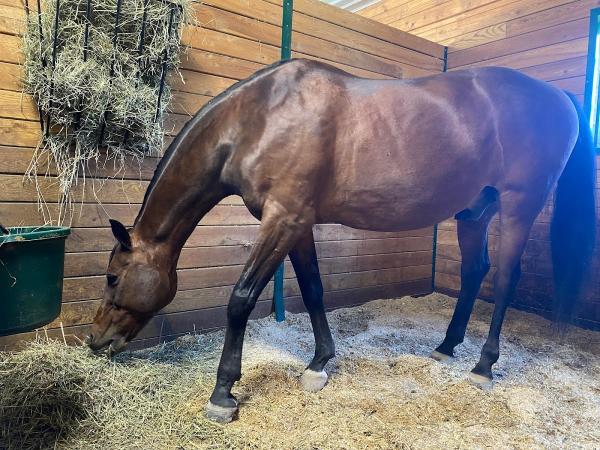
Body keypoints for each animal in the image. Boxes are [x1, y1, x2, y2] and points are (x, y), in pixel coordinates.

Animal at [86, 59, 596, 422]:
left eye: (112, 278)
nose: (95, 341)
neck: (260, 117)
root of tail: (557, 94)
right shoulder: (297, 224)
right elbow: (313, 290)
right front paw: (319, 364)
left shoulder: (283, 220)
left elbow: (241, 299)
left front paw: (223, 393)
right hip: (475, 211)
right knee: (475, 271)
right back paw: (448, 346)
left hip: (519, 205)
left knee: (506, 278)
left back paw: (483, 367)